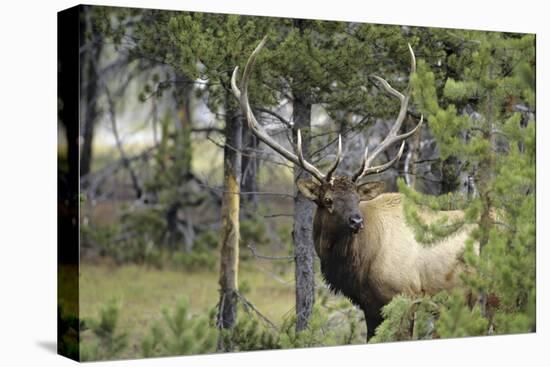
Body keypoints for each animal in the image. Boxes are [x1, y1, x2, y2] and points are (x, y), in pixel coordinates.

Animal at [231, 37, 476, 342]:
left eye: (357, 198)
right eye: (327, 199)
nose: (356, 221)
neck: (359, 266)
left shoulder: (405, 297)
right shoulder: (369, 305)